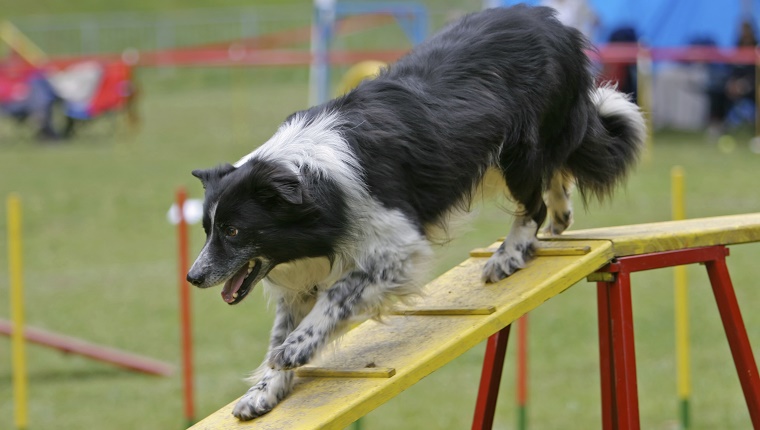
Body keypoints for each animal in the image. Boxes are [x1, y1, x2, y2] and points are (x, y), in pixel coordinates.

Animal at [187, 4, 644, 420]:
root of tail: (550, 21)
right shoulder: (302, 269)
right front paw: (264, 391)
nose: (193, 277)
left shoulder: (397, 245)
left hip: (518, 148)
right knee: (556, 168)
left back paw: (509, 254)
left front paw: (296, 348)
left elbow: (337, 294)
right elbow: (281, 330)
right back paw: (560, 216)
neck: (310, 182)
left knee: (533, 200)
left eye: (232, 231)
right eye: (208, 229)